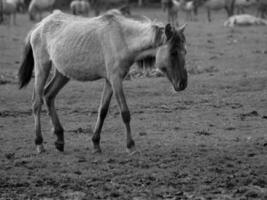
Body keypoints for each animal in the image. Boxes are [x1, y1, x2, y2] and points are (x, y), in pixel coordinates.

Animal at [18, 10, 188, 154]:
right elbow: (125, 112)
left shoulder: (109, 81)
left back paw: (60, 140)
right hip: (42, 67)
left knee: (49, 95)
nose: (183, 83)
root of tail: (39, 26)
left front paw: (96, 143)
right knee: (37, 102)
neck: (123, 38)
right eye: (173, 52)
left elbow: (103, 110)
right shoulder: (115, 79)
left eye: (184, 51)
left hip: (62, 73)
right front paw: (130, 145)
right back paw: (39, 143)